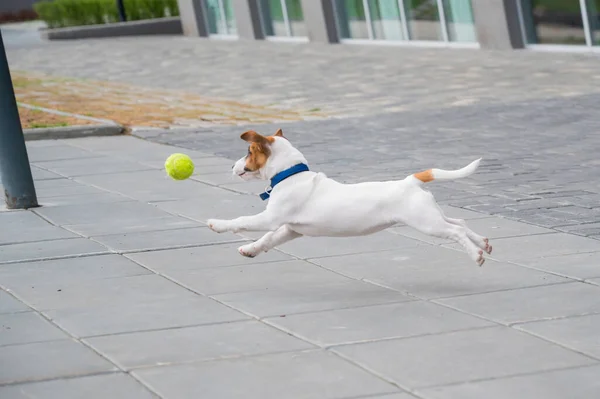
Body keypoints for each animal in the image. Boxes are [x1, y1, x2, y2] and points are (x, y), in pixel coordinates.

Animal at [207, 128, 492, 266]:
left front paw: (217, 225)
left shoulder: (271, 218)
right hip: (430, 214)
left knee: (455, 231)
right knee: (460, 223)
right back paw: (483, 244)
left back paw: (476, 255)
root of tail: (411, 180)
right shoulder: (291, 229)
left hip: (425, 222)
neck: (291, 175)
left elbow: (243, 221)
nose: (232, 166)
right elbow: (268, 239)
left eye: (248, 152)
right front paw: (250, 250)